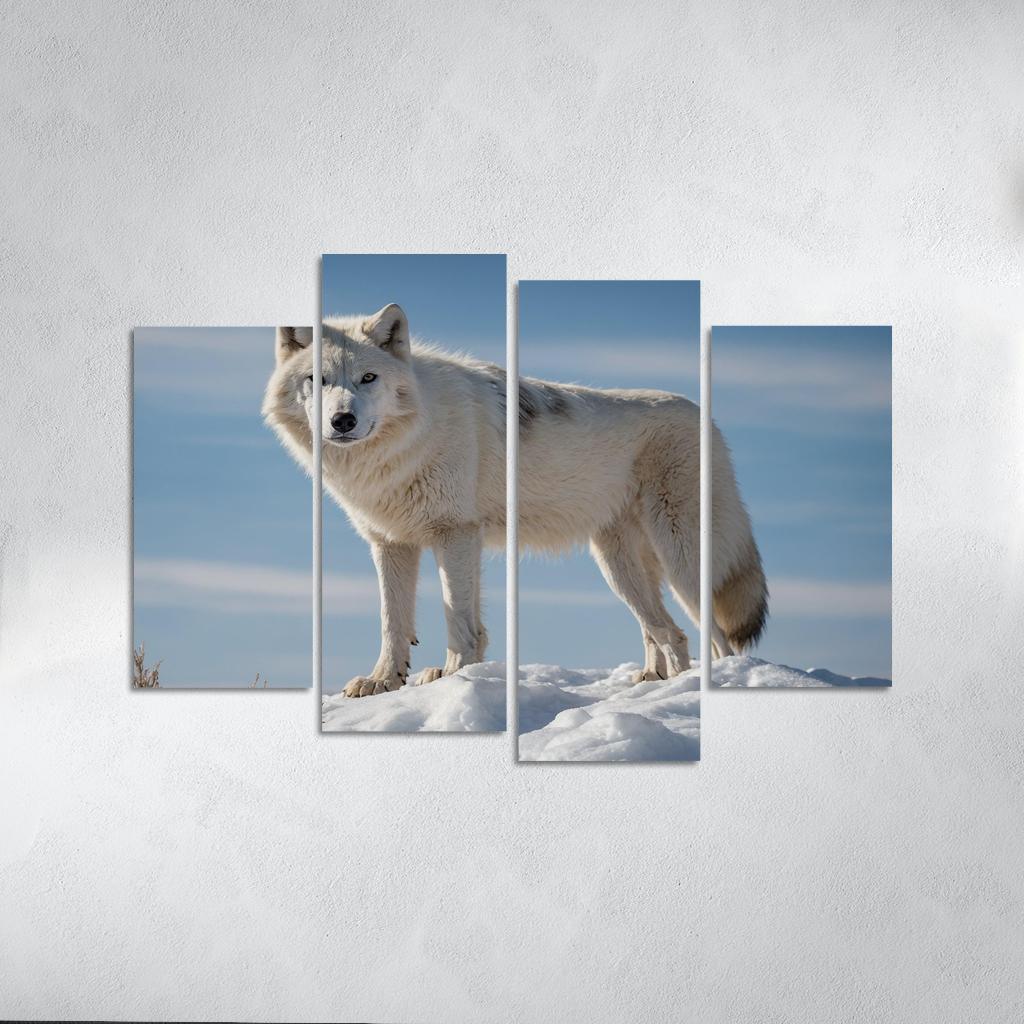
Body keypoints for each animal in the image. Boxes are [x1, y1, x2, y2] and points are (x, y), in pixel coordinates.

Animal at [262, 304, 766, 697]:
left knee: (712, 637)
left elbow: (458, 618)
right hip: (617, 565)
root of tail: (708, 419)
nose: (343, 420)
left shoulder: (455, 534)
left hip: (680, 557)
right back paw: (656, 683)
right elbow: (394, 623)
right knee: (667, 633)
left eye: (368, 378)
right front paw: (383, 682)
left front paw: (455, 674)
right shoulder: (392, 543)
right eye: (317, 379)